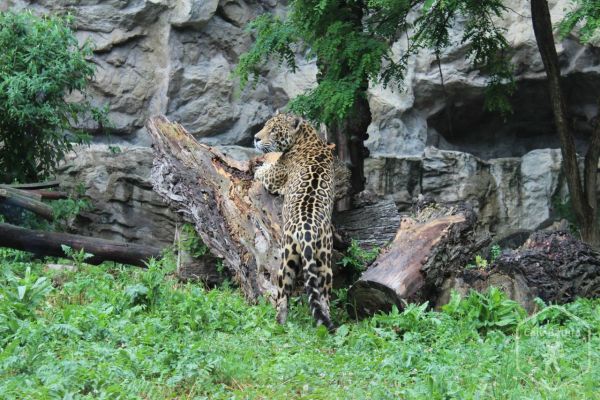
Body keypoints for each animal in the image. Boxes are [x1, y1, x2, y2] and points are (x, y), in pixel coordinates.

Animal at [254, 110, 338, 332]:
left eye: (273, 130)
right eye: (265, 125)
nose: (256, 138)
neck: (308, 138)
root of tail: (306, 229)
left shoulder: (273, 178)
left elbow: (263, 171)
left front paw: (259, 166)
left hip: (286, 257)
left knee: (282, 297)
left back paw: (278, 326)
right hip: (323, 260)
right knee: (323, 299)